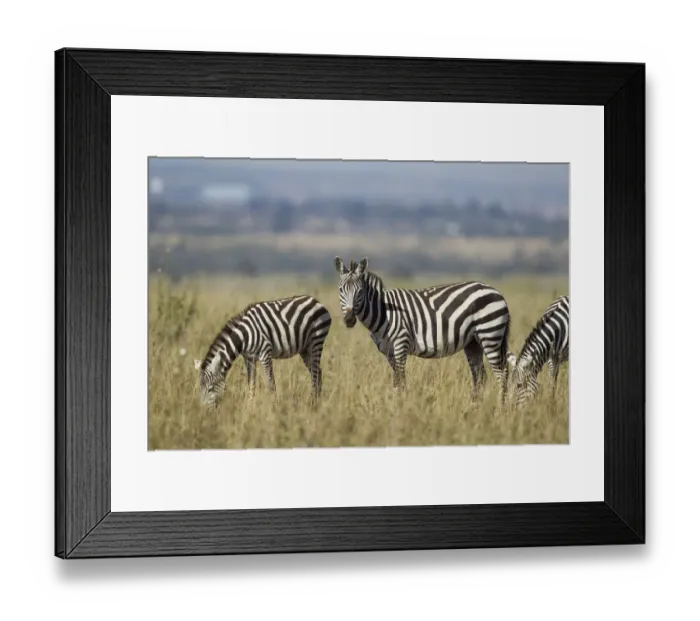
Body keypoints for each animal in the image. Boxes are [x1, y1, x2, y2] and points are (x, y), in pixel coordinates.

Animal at [199, 295, 332, 409]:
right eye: (200, 389)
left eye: (211, 388)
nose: (205, 412)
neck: (244, 336)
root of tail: (316, 301)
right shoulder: (249, 358)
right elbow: (251, 384)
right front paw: (250, 408)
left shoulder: (265, 354)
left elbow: (270, 383)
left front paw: (274, 407)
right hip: (305, 348)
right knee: (317, 372)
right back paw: (317, 401)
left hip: (316, 340)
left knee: (315, 373)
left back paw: (312, 402)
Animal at [334, 256, 511, 404]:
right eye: (341, 290)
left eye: (360, 292)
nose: (349, 319)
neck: (384, 312)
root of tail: (497, 292)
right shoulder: (388, 352)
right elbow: (396, 381)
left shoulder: (401, 344)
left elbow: (401, 381)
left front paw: (400, 407)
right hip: (473, 342)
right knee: (480, 376)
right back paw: (475, 406)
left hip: (490, 334)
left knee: (501, 375)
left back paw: (500, 408)